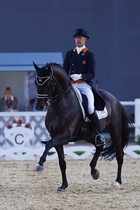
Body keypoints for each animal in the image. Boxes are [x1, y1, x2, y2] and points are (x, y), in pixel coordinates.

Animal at [32, 61, 131, 192]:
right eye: (36, 82)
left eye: (48, 83)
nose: (39, 106)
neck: (60, 105)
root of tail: (114, 99)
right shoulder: (56, 137)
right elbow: (62, 163)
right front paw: (63, 185)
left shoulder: (65, 135)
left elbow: (48, 144)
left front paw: (40, 164)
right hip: (89, 135)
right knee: (100, 145)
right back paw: (94, 171)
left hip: (114, 130)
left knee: (119, 155)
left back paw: (117, 182)